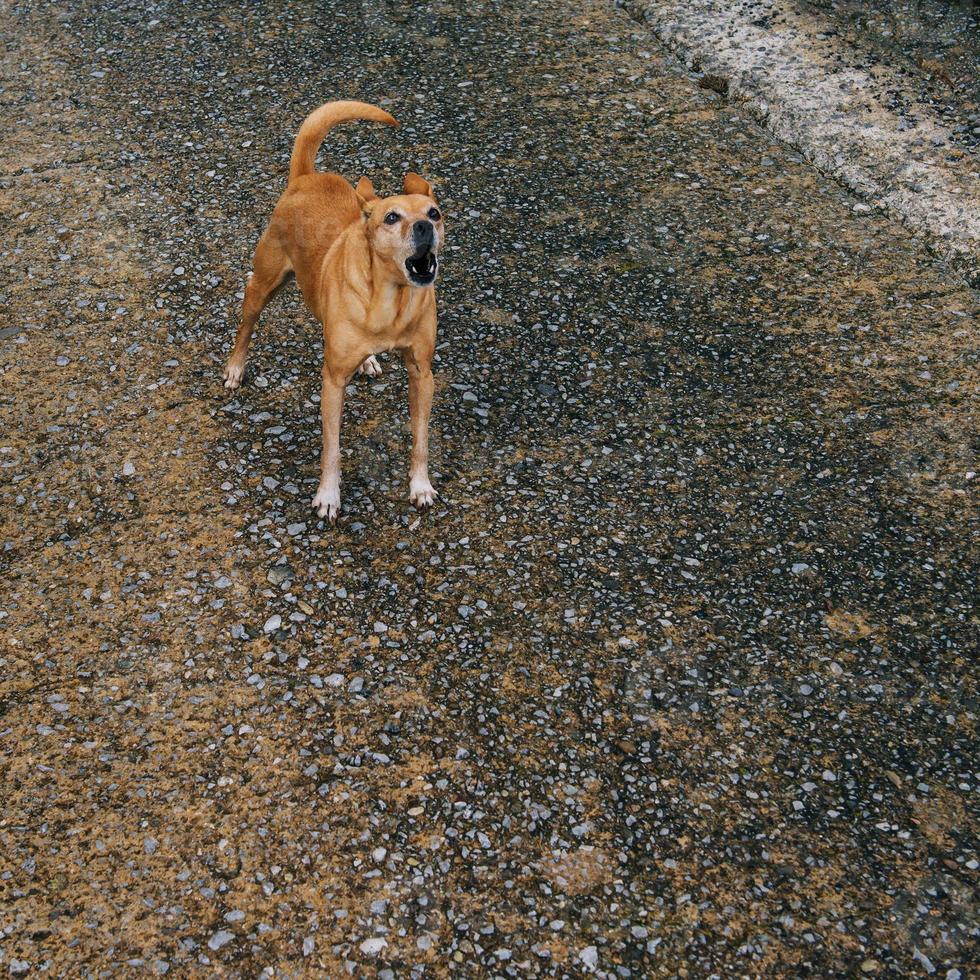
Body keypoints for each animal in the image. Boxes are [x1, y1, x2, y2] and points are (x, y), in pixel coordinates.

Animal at [224, 101, 442, 520]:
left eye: (435, 212)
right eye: (392, 217)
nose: (425, 226)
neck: (389, 300)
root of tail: (305, 177)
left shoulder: (422, 373)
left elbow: (421, 439)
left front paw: (420, 485)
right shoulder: (333, 381)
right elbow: (332, 448)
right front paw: (328, 495)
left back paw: (369, 360)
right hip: (262, 285)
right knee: (246, 326)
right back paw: (235, 368)